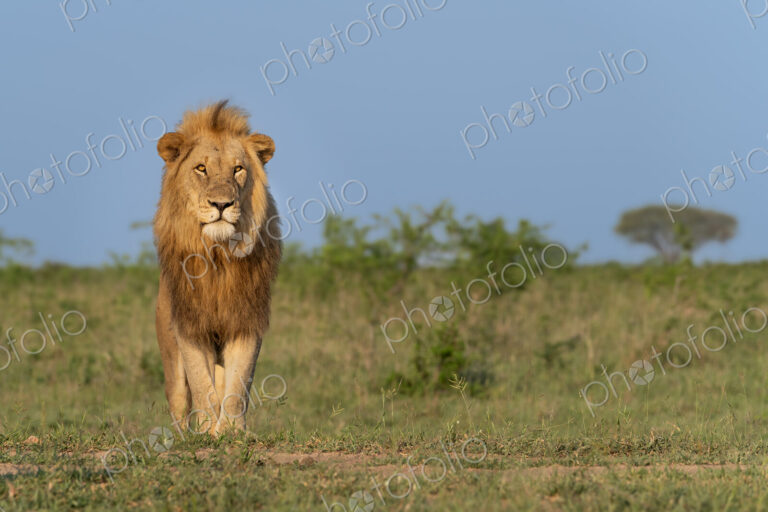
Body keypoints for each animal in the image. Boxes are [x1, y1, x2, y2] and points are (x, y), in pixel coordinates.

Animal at [153, 100, 281, 436]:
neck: (219, 255)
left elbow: (238, 384)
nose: (221, 205)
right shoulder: (190, 325)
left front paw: (233, 431)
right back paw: (182, 436)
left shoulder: (247, 321)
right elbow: (200, 383)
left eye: (238, 169)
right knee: (179, 399)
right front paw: (206, 429)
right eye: (201, 168)